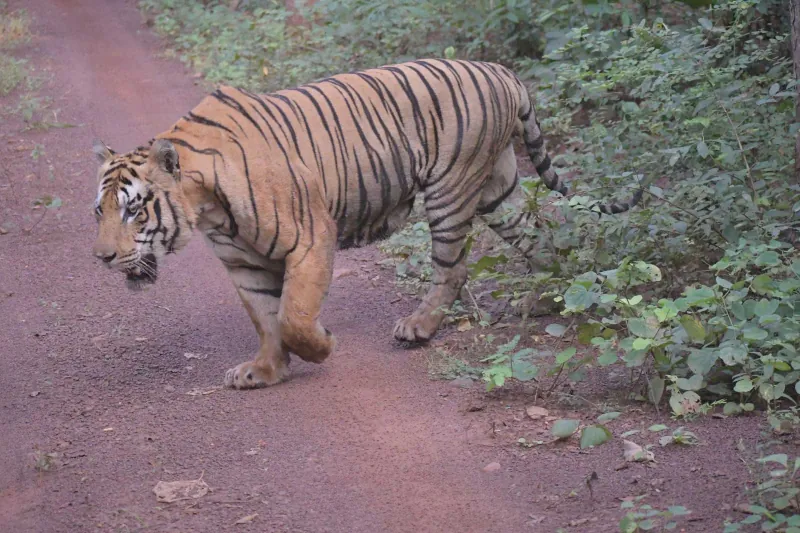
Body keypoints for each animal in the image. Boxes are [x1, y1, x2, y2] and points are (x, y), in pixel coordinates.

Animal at [91, 59, 642, 390]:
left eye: (135, 211)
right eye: (100, 211)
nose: (102, 257)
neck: (204, 206)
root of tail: (501, 70)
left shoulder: (311, 237)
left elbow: (293, 316)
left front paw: (322, 345)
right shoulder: (241, 262)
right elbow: (266, 319)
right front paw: (265, 372)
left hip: (450, 189)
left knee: (453, 267)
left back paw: (418, 328)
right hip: (498, 190)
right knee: (538, 236)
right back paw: (549, 300)